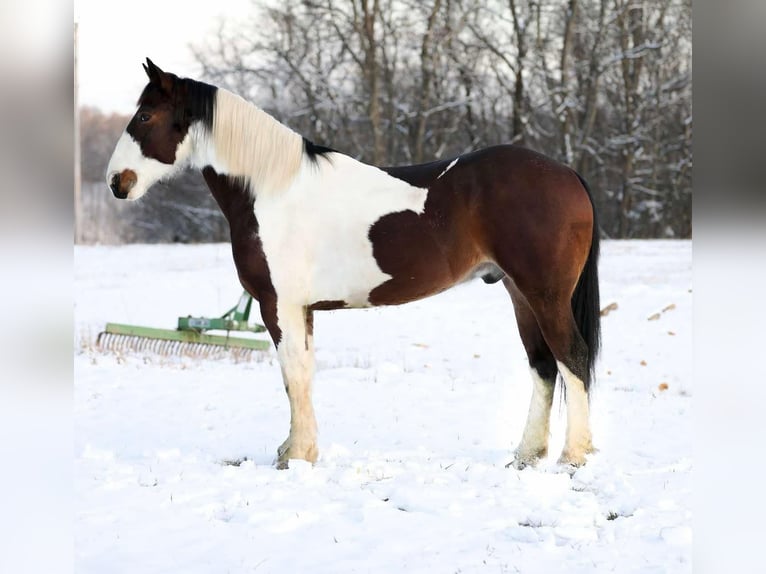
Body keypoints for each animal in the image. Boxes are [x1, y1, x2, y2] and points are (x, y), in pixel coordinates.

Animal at [106, 59, 601, 470]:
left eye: (145, 117)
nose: (116, 183)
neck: (272, 189)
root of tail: (566, 173)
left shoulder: (278, 306)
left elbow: (293, 374)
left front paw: (297, 455)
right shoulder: (300, 310)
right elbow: (302, 375)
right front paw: (295, 449)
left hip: (545, 294)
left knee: (571, 357)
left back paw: (572, 457)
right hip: (519, 293)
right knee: (543, 365)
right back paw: (526, 455)